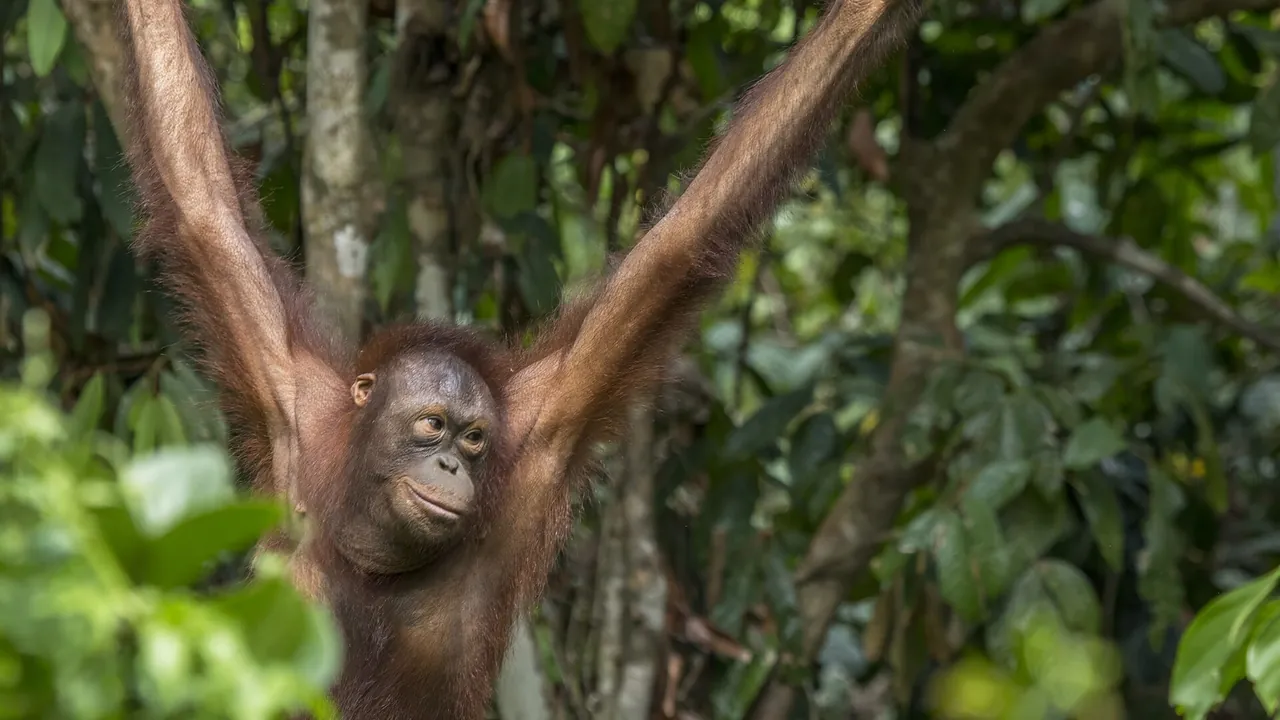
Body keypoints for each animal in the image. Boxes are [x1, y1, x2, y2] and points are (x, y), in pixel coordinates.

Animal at [116, 0, 923, 717]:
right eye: (432, 426)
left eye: (475, 439)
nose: (452, 464)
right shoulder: (288, 397)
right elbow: (202, 205)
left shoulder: (545, 422)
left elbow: (683, 243)